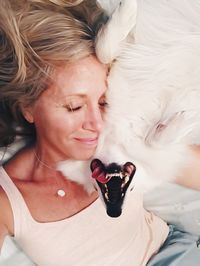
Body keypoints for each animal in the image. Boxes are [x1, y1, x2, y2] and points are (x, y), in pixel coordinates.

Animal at [57, 0, 200, 205]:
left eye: (129, 188)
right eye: (96, 188)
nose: (114, 209)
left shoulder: (131, 48)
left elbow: (103, 50)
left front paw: (128, 9)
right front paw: (177, 122)